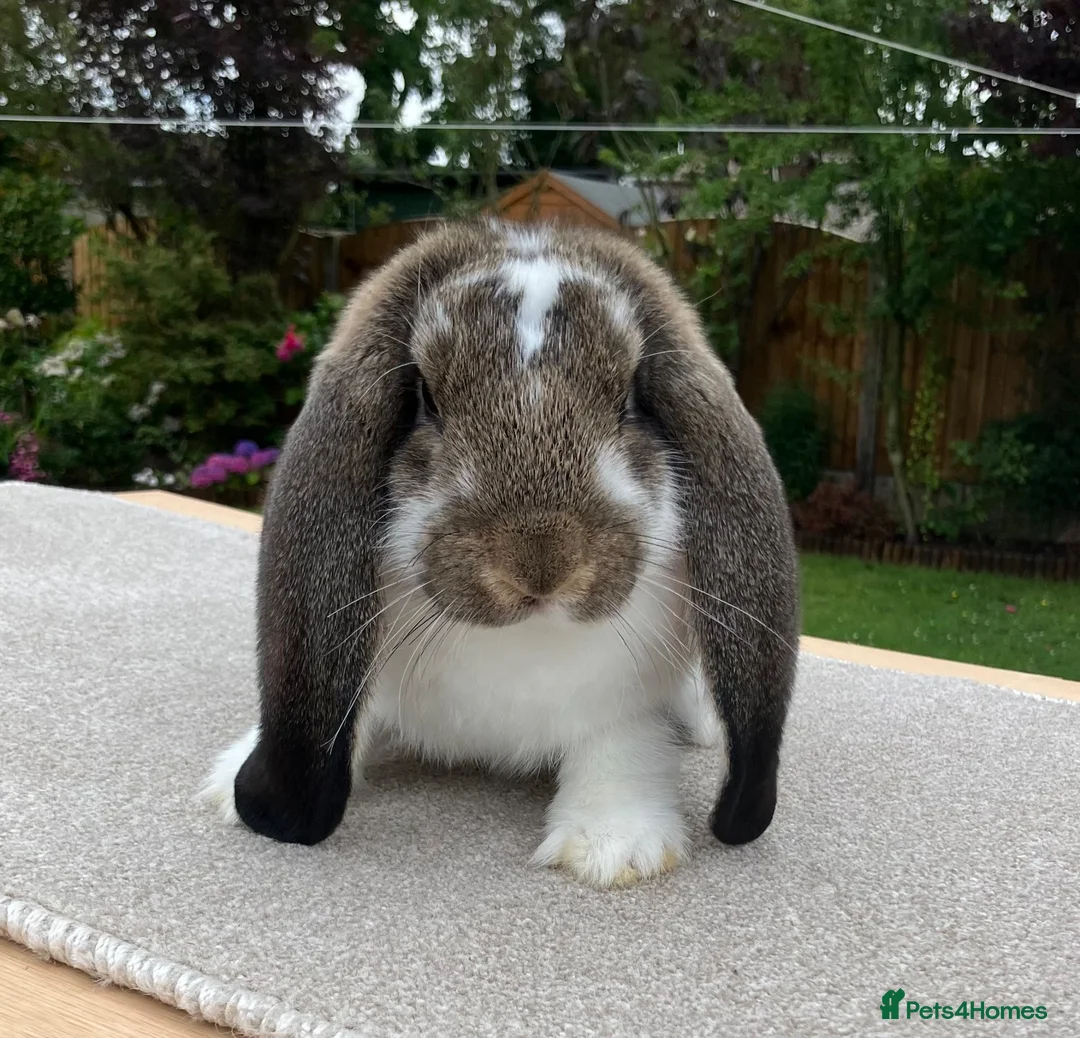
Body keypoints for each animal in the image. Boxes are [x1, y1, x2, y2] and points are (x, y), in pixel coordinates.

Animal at [200, 217, 799, 889]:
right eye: (425, 398)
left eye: (631, 397)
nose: (541, 565)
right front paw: (230, 783)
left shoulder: (626, 708)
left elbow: (621, 751)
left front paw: (613, 847)